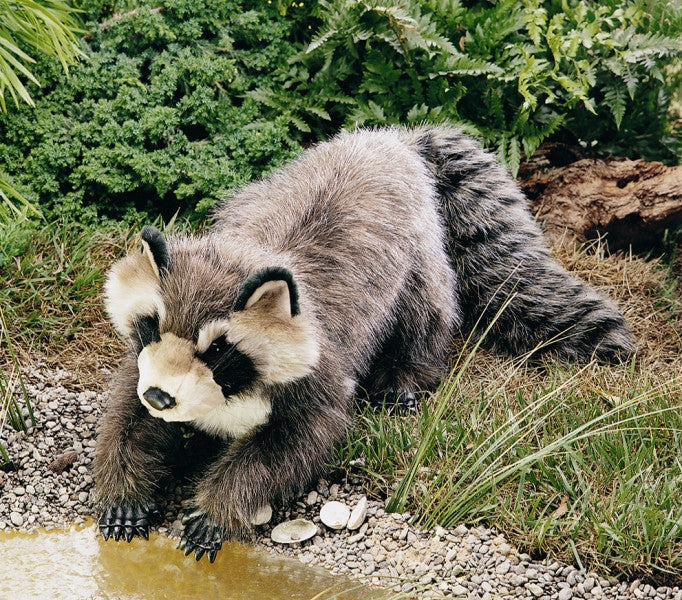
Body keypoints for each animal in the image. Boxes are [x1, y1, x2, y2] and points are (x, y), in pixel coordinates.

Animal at [94, 125, 634, 562]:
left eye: (219, 350)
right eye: (153, 326)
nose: (161, 396)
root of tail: (389, 138)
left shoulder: (320, 377)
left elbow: (289, 447)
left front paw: (223, 504)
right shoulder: (144, 363)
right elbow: (127, 412)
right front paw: (124, 484)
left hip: (420, 249)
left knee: (427, 315)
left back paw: (407, 371)